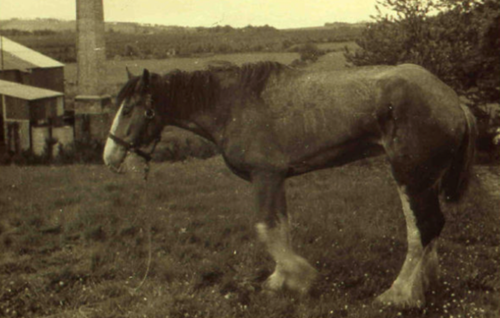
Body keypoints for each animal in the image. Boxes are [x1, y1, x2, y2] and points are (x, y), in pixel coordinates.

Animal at [102, 62, 476, 308]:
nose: (109, 157)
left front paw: (297, 277)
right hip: (421, 181)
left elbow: (266, 229)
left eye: (129, 109)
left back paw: (398, 294)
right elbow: (280, 228)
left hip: (410, 177)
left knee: (423, 227)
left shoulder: (264, 176)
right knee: (428, 227)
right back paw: (422, 285)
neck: (231, 103)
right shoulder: (276, 179)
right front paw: (281, 280)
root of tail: (452, 100)